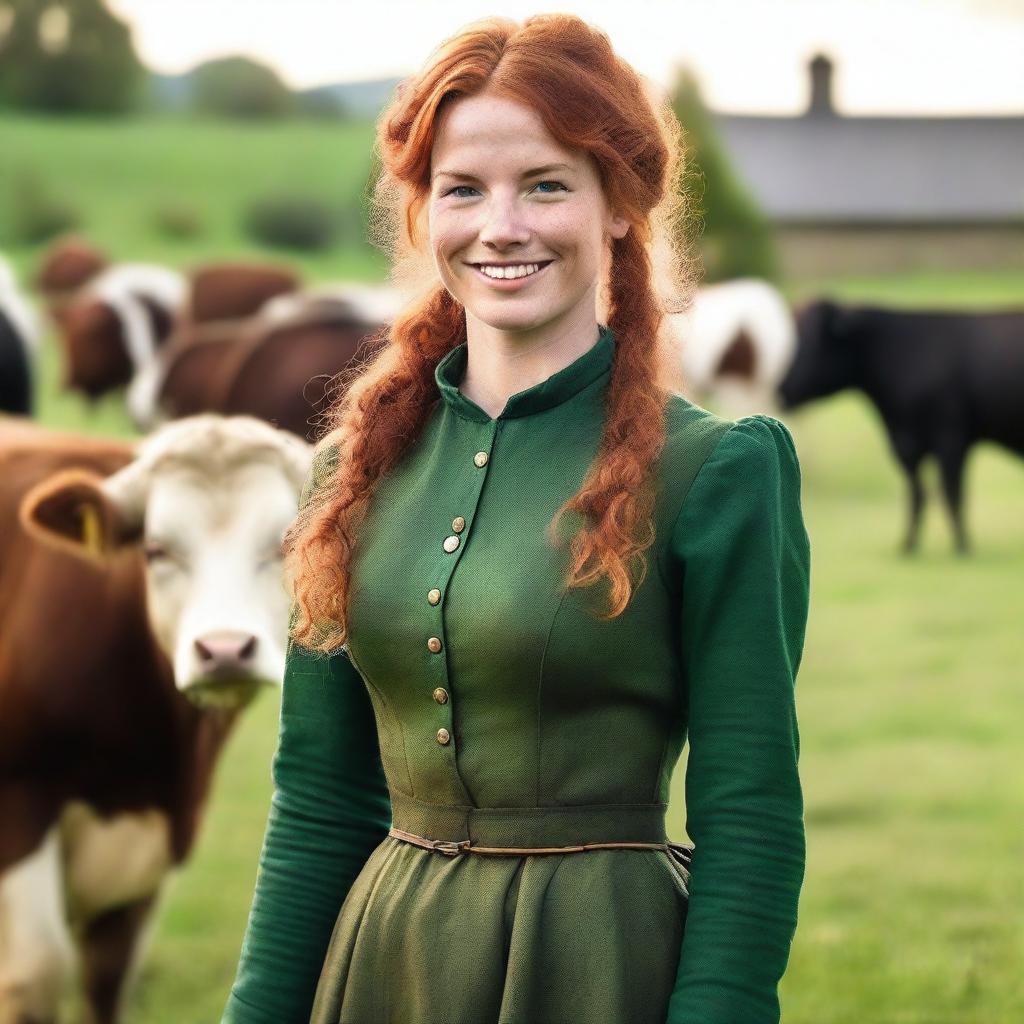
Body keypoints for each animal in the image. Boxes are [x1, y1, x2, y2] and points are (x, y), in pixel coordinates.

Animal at [0, 411, 311, 1019]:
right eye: (155, 549)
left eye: (287, 543)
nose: (224, 650)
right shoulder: (17, 808)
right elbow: (36, 974)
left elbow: (108, 979)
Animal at [778, 299, 1019, 557]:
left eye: (806, 341)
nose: (781, 389)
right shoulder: (907, 446)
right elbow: (917, 494)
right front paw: (908, 545)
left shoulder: (951, 438)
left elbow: (951, 494)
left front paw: (963, 547)